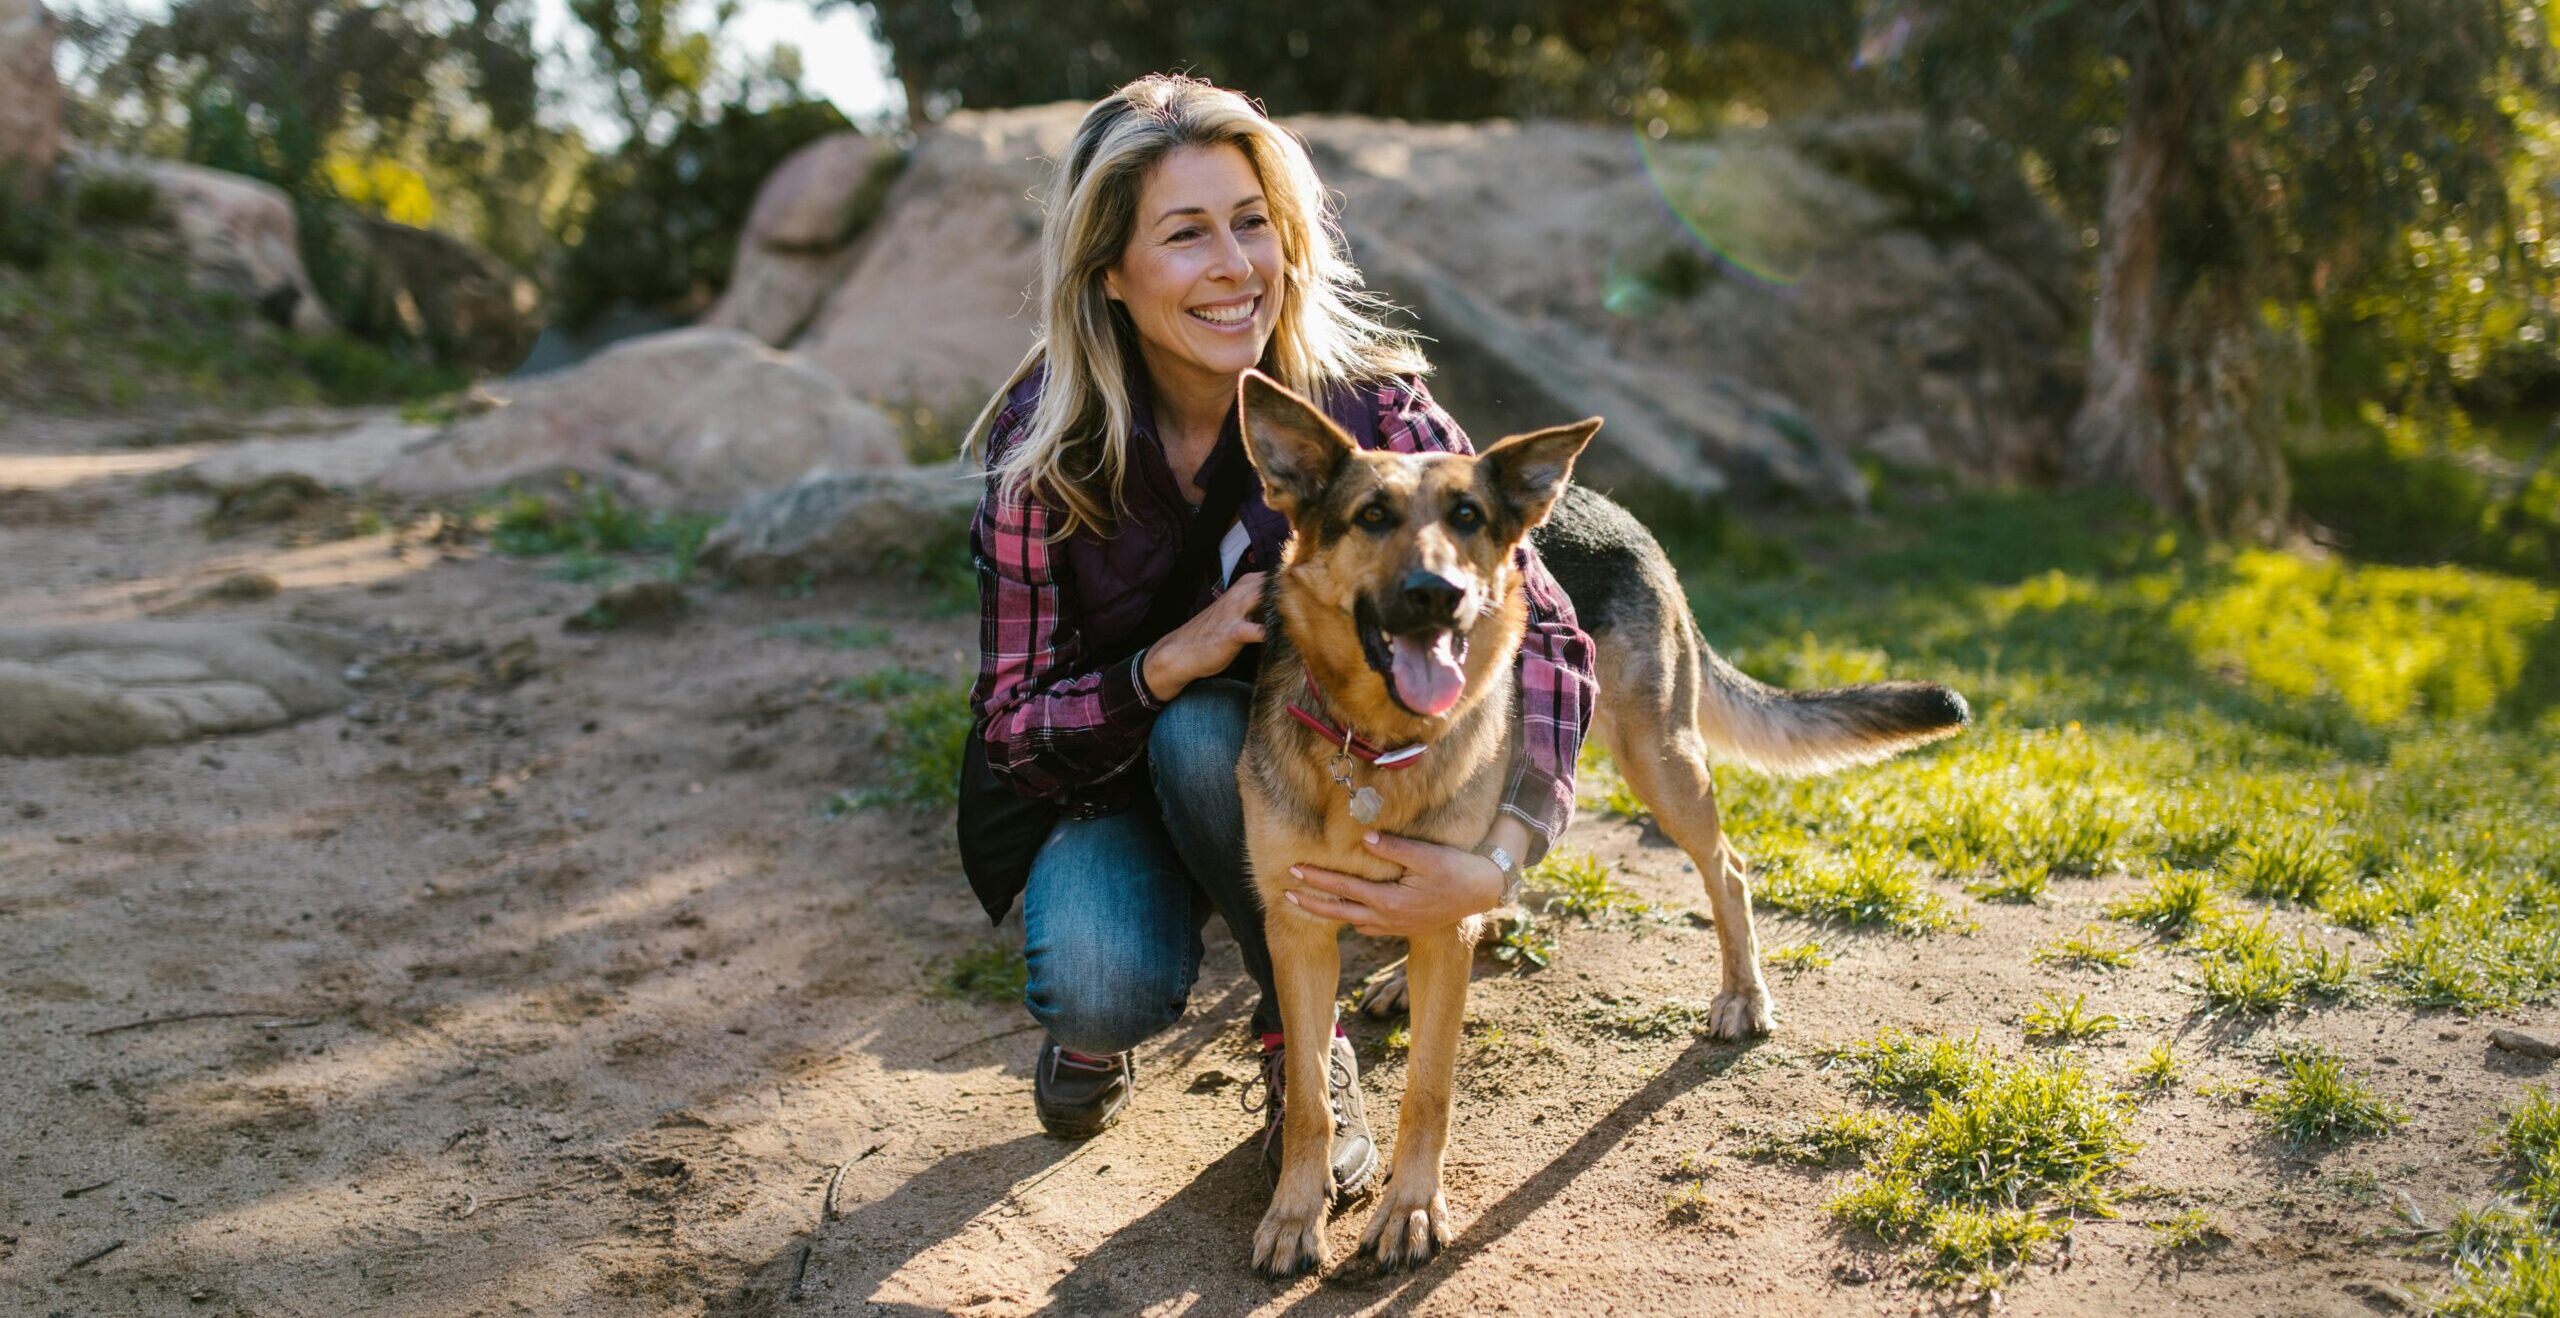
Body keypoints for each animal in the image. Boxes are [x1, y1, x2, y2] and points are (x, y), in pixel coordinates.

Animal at [1228, 371, 1966, 1279]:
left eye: (1467, 517)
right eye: (1371, 515)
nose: (1440, 594)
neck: (1373, 745)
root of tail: (1612, 509)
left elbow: (1428, 1089)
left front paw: (1411, 1210)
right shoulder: (1296, 927)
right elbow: (1308, 1100)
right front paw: (1296, 1212)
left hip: (1660, 758)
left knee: (1726, 868)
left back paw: (1742, 994)